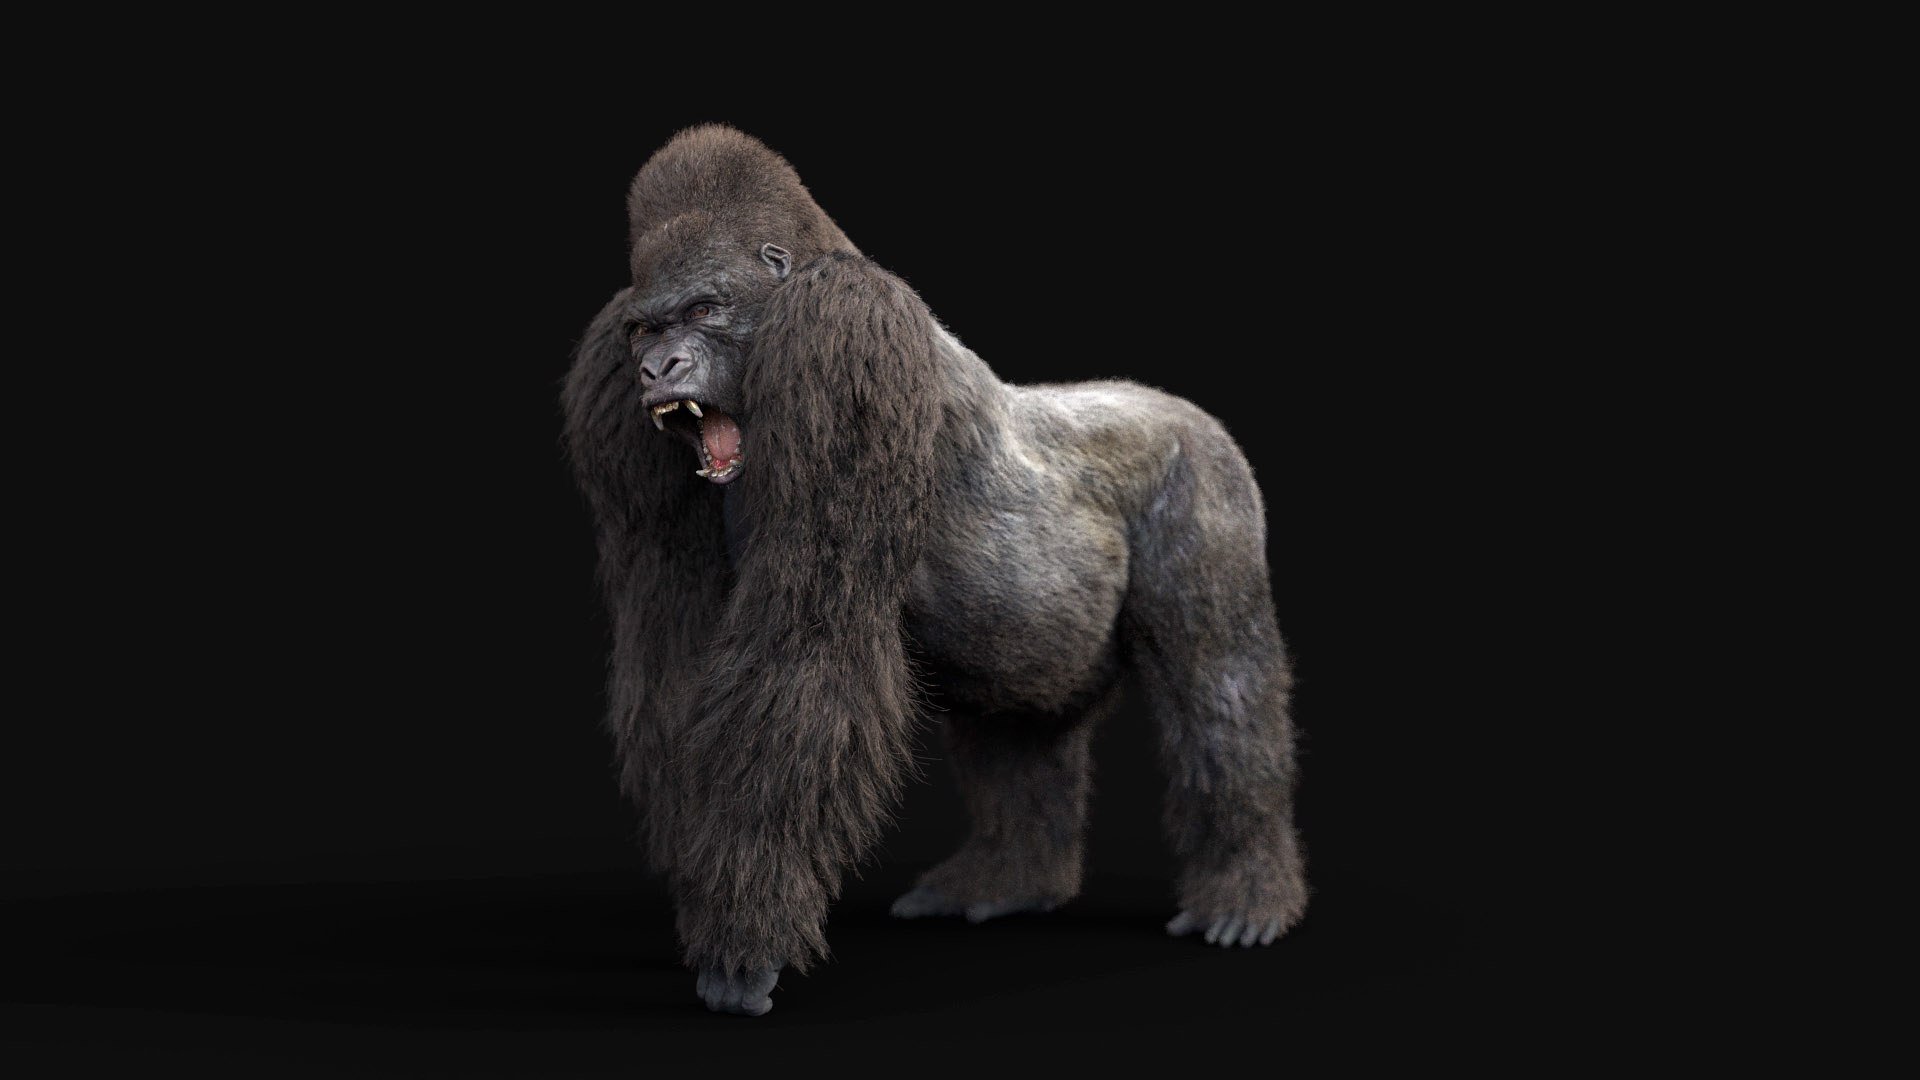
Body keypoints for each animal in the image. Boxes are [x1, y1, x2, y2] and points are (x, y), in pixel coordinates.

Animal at [562, 126, 1306, 1017]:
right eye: (645, 330)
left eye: (704, 311)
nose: (659, 369)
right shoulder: (608, 376)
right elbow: (672, 653)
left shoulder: (843, 330)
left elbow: (806, 646)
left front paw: (742, 940)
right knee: (1019, 724)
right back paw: (1008, 879)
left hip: (1207, 471)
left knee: (1219, 682)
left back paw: (1244, 888)